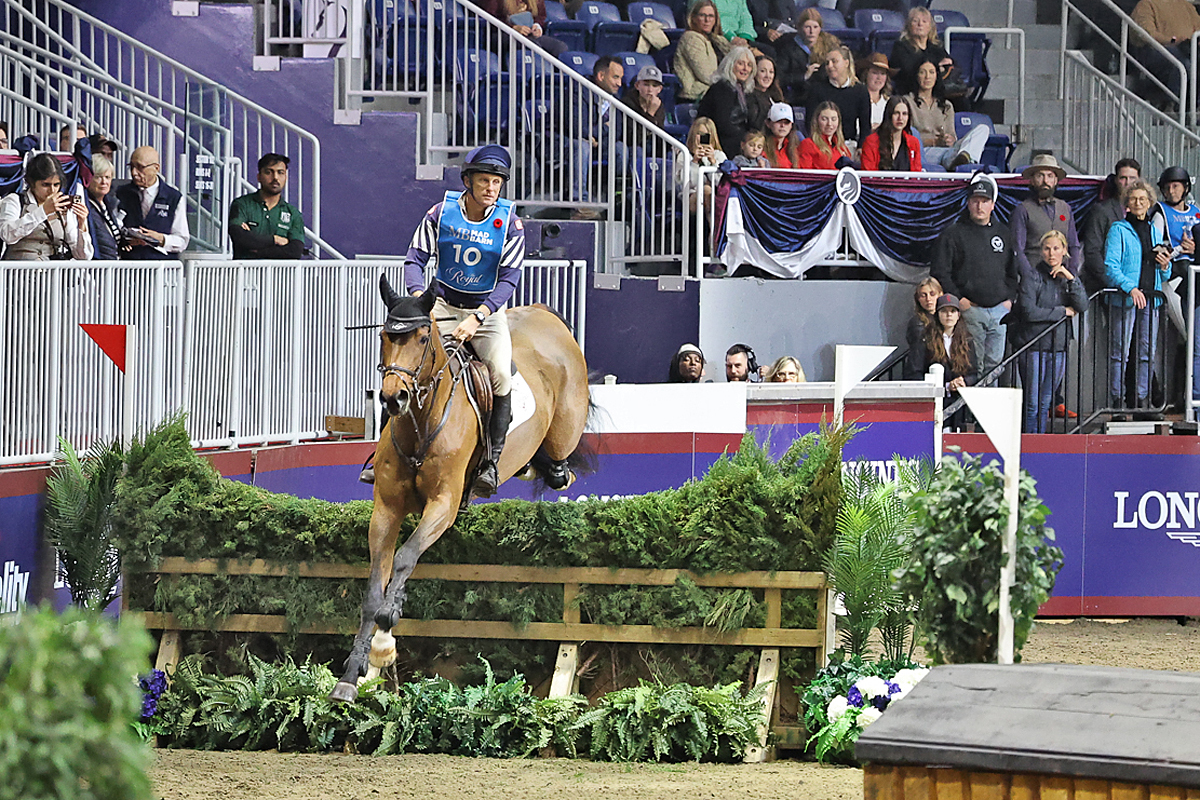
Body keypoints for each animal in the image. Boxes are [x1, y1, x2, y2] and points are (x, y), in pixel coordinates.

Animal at [328, 275, 590, 700]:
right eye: (385, 336)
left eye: (422, 338)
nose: (393, 397)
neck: (421, 422)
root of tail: (544, 315)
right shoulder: (386, 508)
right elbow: (374, 588)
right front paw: (352, 676)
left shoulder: (443, 505)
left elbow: (406, 557)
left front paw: (385, 638)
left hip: (563, 434)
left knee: (560, 468)